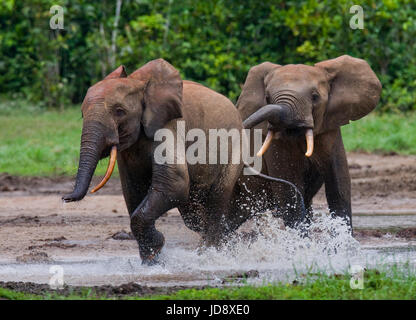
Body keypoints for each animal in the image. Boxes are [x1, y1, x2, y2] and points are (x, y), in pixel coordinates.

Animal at [61, 58, 296, 264]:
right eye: (82, 114)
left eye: (120, 111)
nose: (65, 198)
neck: (140, 83)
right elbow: (133, 190)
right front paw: (152, 262)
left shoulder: (170, 126)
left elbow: (175, 183)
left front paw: (157, 248)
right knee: (194, 215)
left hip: (234, 151)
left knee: (216, 202)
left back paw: (210, 256)